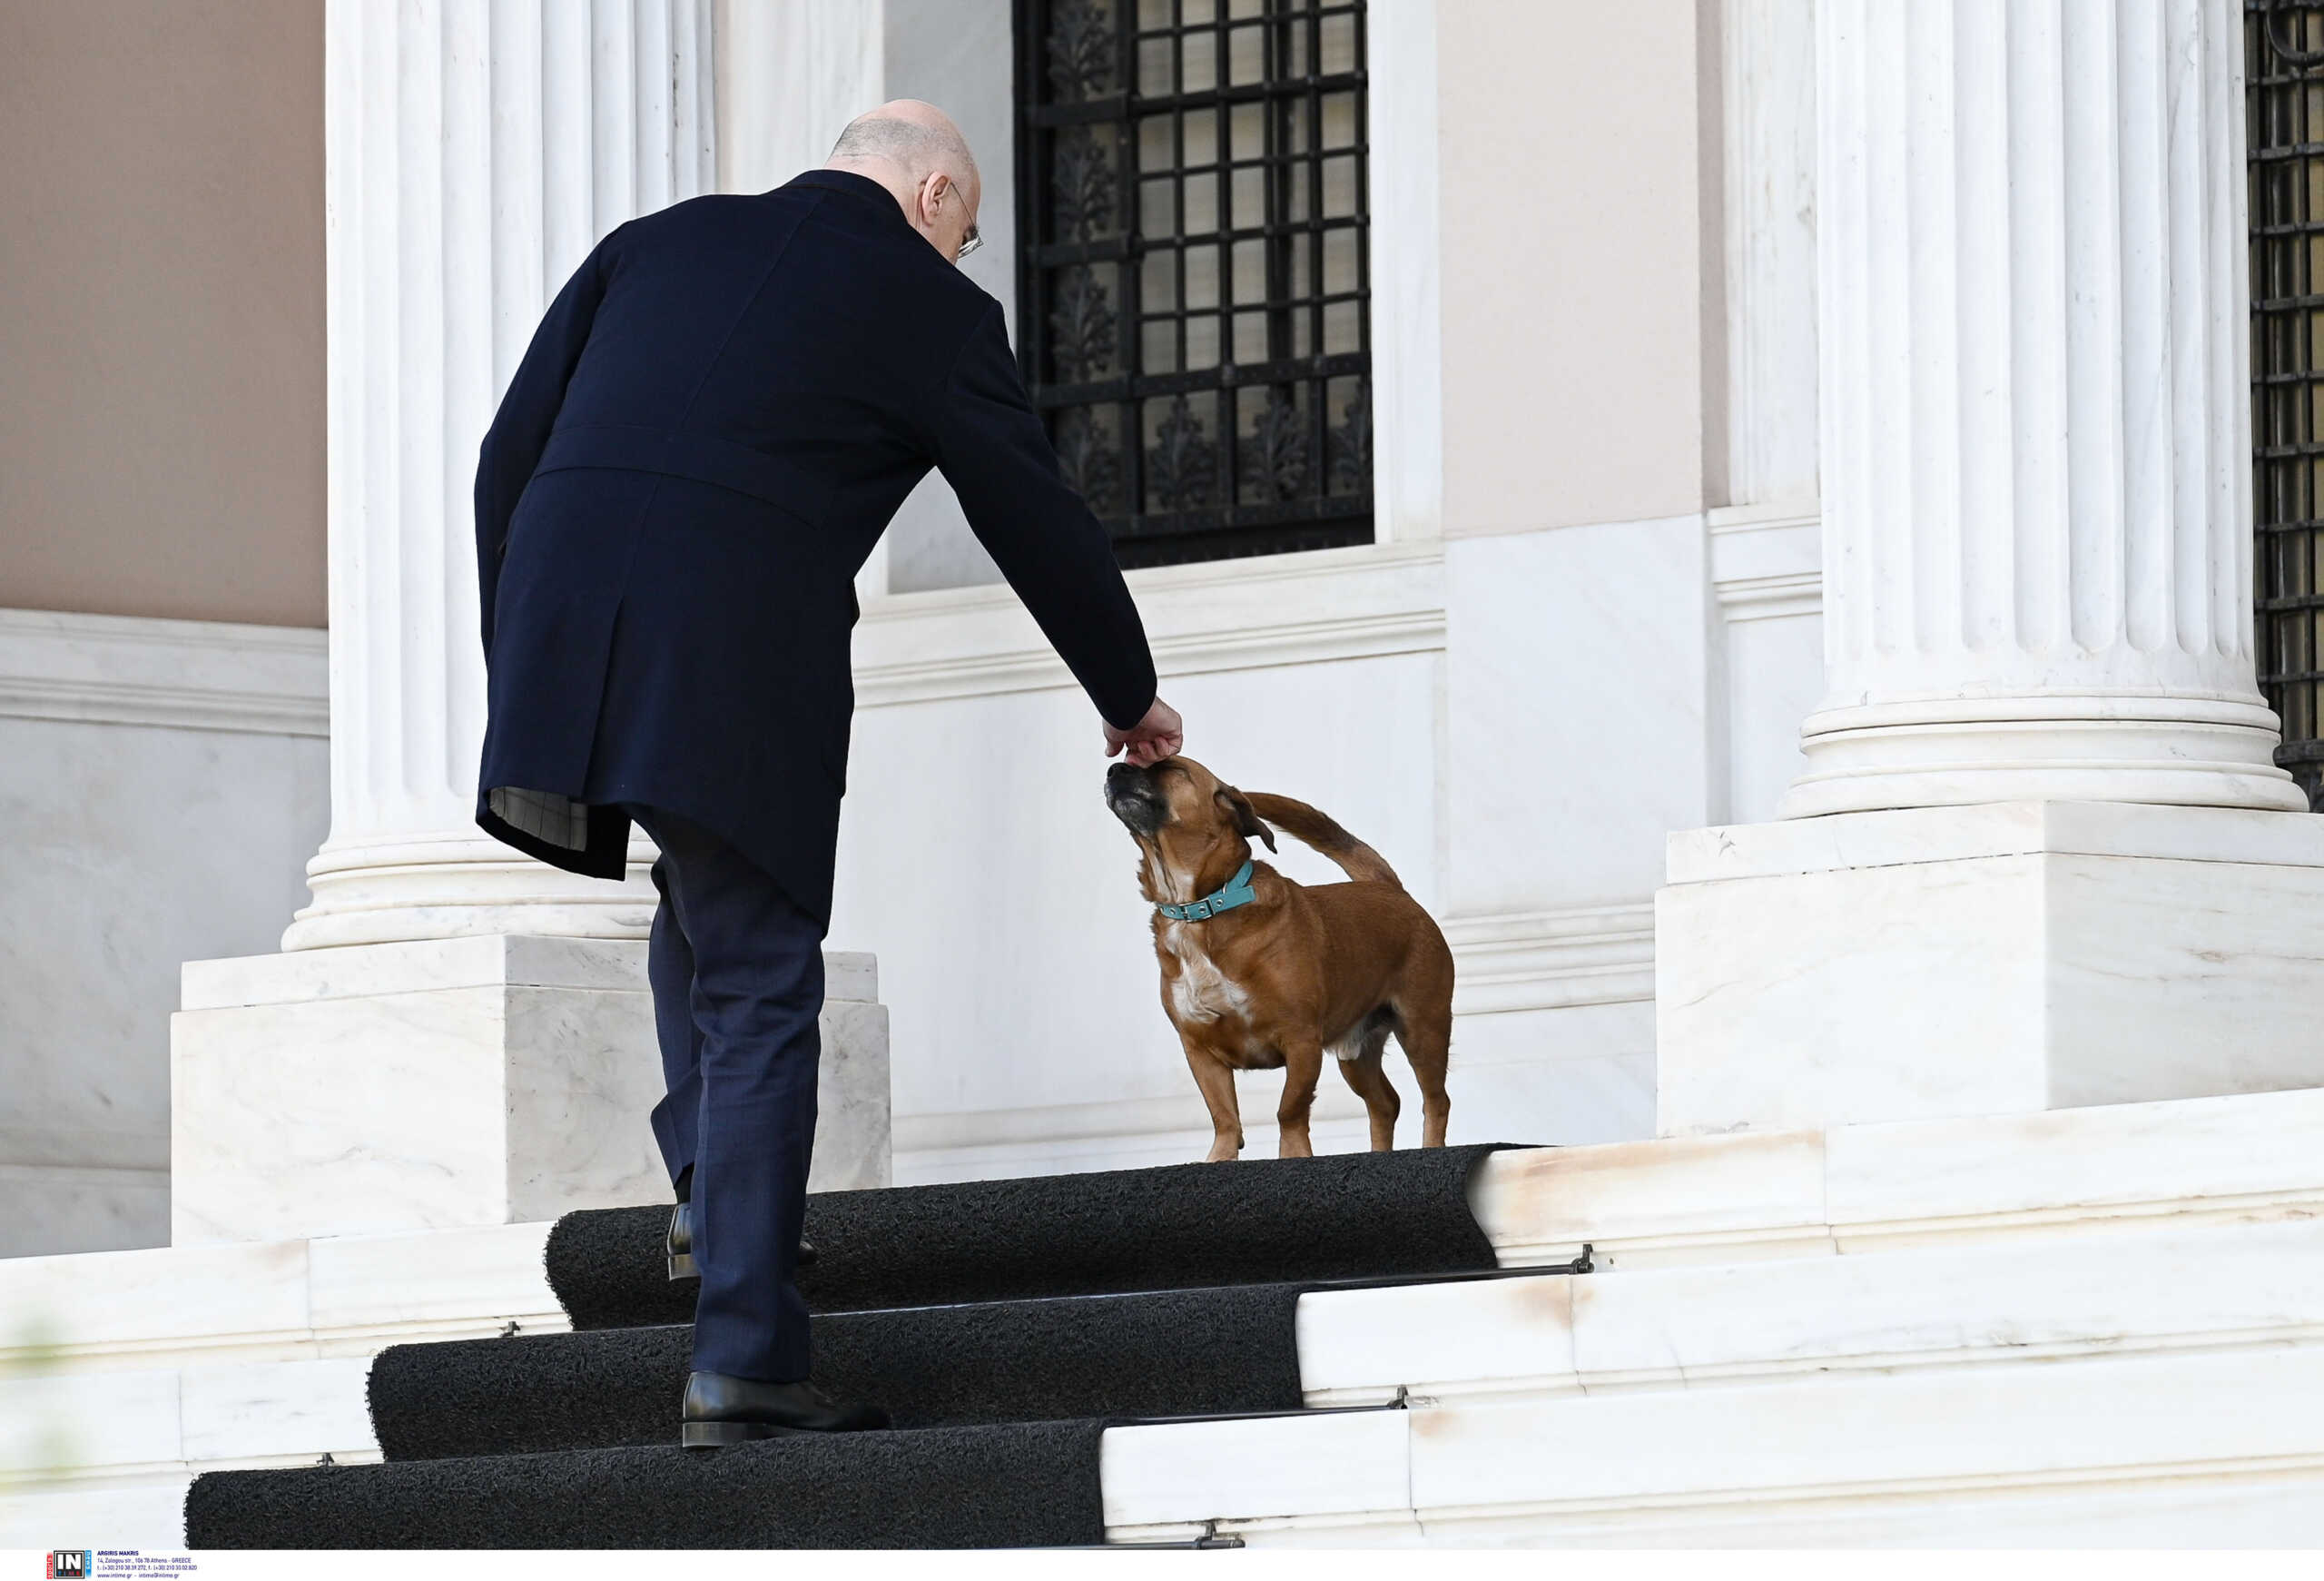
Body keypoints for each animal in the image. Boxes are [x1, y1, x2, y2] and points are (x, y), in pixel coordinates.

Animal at [1106, 753, 1450, 1162]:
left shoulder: (1301, 1041)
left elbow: (1290, 1109)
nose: (1113, 769)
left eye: (1172, 769)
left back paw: (1431, 1148)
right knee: (1385, 1103)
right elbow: (1225, 1117)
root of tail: (1389, 888)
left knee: (1436, 1100)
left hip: (1423, 1028)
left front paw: (1294, 1153)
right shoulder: (1200, 1050)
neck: (1203, 907)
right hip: (1357, 1052)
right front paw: (1220, 1157)